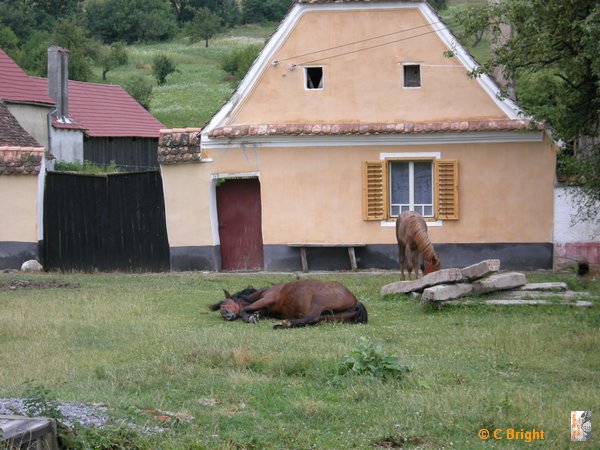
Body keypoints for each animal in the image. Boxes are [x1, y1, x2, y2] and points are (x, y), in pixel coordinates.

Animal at [209, 280, 368, 328]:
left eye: (225, 303)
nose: (225, 315)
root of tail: (355, 301)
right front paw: (255, 316)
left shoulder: (266, 299)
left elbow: (246, 309)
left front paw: (250, 317)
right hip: (333, 316)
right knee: (312, 320)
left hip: (318, 301)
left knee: (312, 318)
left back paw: (283, 323)